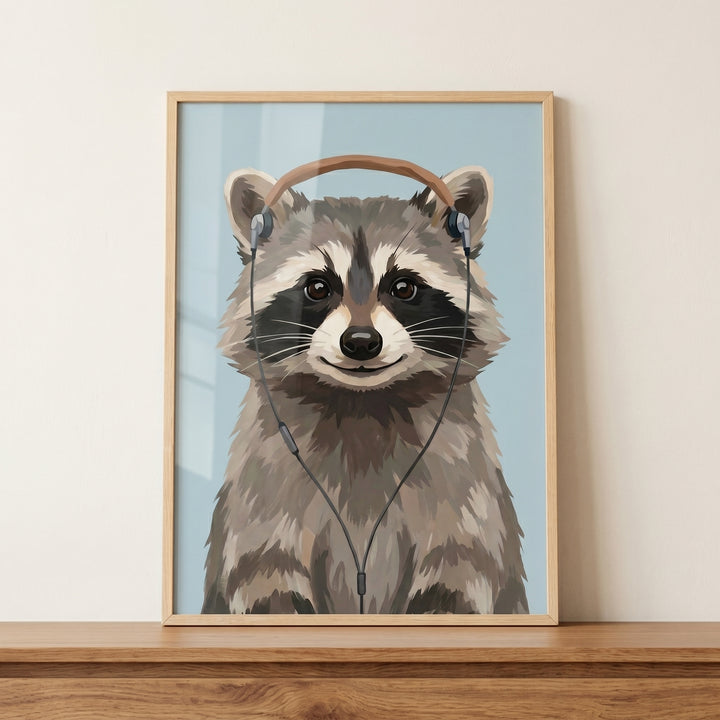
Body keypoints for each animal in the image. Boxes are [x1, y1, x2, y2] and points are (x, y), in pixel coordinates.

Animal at [202, 165, 528, 615]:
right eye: (318, 287)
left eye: (404, 287)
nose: (360, 342)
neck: (362, 405)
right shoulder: (264, 484)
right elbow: (265, 576)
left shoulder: (464, 479)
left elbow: (460, 570)